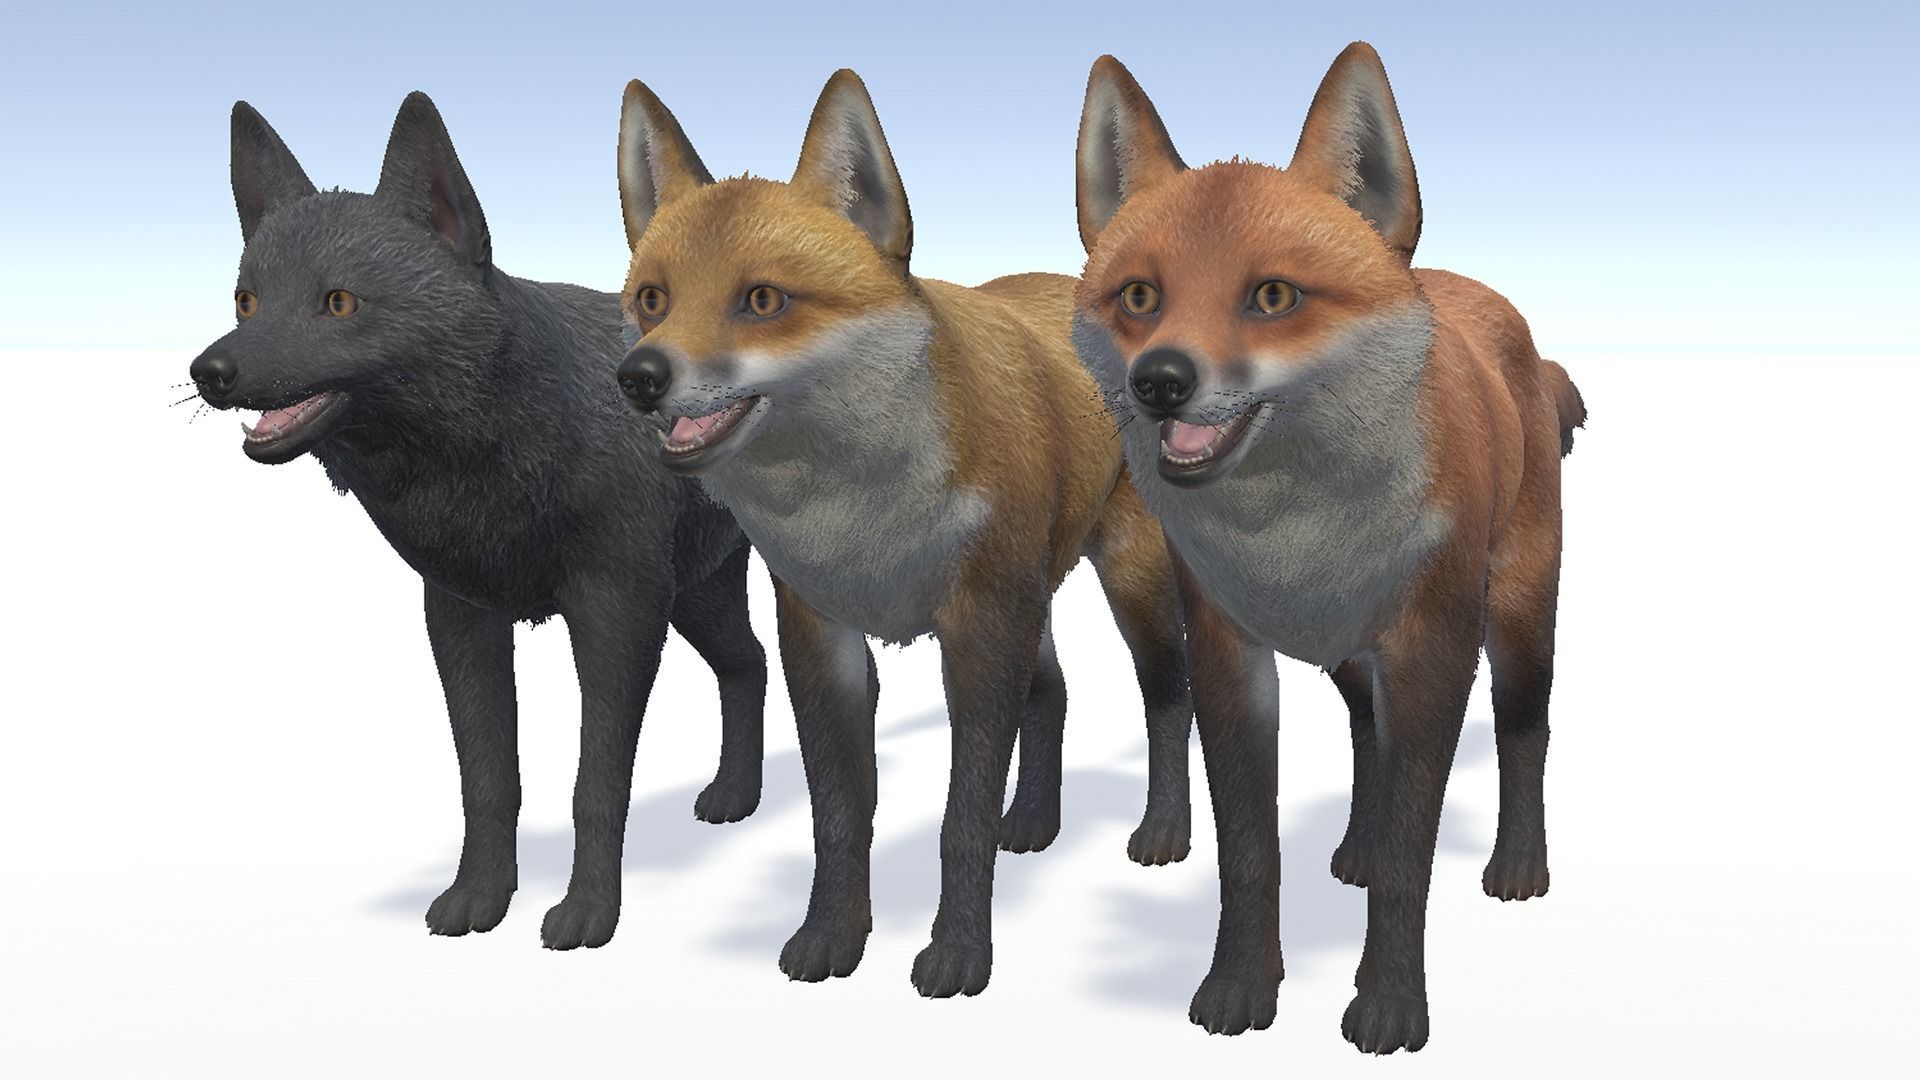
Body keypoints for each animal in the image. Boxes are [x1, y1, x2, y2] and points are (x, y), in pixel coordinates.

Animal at [188, 93, 768, 951]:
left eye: (338, 302)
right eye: (246, 302)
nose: (209, 371)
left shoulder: (617, 616)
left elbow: (595, 783)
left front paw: (588, 914)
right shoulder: (461, 619)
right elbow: (488, 780)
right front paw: (479, 898)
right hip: (697, 598)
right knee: (748, 663)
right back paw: (735, 795)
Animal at [609, 70, 1195, 997]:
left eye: (762, 300)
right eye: (653, 300)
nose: (639, 378)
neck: (863, 515)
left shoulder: (977, 628)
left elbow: (960, 820)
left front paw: (959, 954)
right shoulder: (822, 634)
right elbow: (841, 814)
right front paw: (832, 937)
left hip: (1123, 582)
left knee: (1168, 694)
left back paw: (1164, 832)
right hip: (1031, 602)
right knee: (1055, 693)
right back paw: (1033, 820)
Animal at [1070, 45, 1585, 1052]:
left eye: (1272, 296)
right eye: (1141, 297)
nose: (1160, 382)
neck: (1298, 542)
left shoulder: (1433, 651)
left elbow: (1413, 859)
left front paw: (1389, 1003)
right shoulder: (1228, 652)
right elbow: (1248, 852)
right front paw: (1240, 987)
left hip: (1514, 624)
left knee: (1524, 733)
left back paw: (1517, 865)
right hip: (1352, 657)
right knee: (1364, 735)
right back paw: (1353, 846)